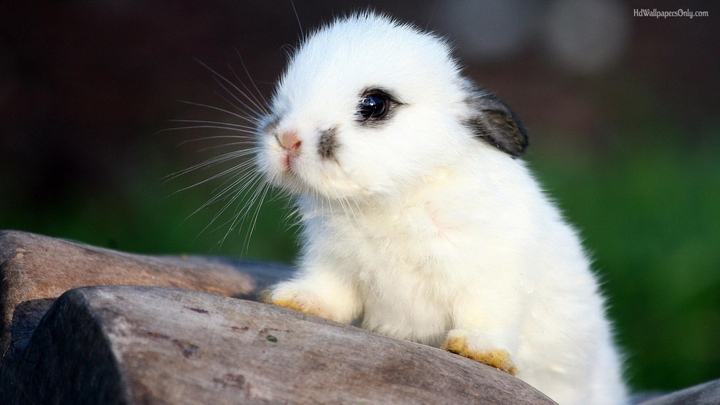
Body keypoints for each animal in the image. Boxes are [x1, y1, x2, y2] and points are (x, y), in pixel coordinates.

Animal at [256, 12, 627, 405]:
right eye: (286, 94)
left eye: (374, 104)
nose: (288, 139)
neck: (394, 198)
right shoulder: (333, 264)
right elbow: (329, 294)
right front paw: (292, 299)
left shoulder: (492, 274)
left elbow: (488, 315)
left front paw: (477, 350)